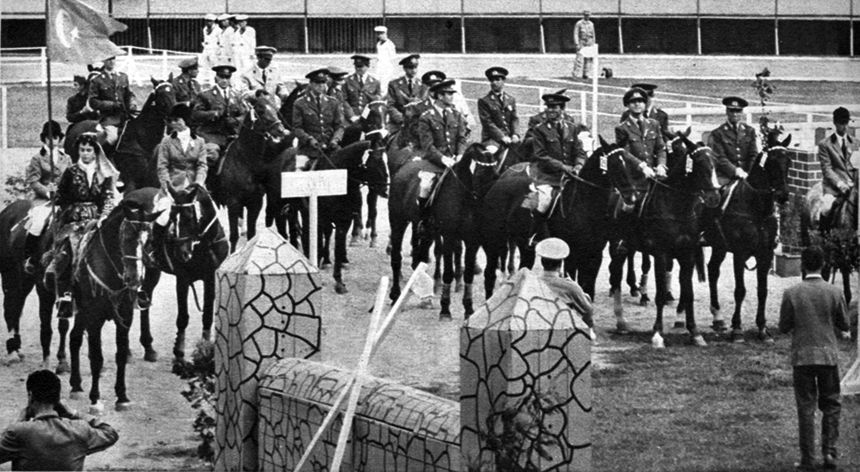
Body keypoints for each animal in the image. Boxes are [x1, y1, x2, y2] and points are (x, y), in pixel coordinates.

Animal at [0, 201, 57, 366]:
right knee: (10, 306)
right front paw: (46, 363)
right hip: (9, 275)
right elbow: (46, 326)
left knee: (17, 305)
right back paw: (12, 352)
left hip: (24, 280)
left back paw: (17, 348)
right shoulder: (44, 288)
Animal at [67, 190, 163, 412]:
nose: (134, 278)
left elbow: (120, 356)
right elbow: (96, 358)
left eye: (149, 240)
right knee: (75, 338)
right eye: (125, 236)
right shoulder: (94, 318)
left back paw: (76, 385)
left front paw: (122, 397)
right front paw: (95, 400)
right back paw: (76, 387)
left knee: (75, 337)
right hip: (81, 309)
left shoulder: (125, 317)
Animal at [137, 183, 227, 362]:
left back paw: (148, 347)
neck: (202, 244)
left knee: (145, 296)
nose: (181, 254)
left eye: (189, 217)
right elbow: (183, 317)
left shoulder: (210, 276)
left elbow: (207, 314)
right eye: (172, 218)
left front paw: (205, 349)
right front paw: (179, 352)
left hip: (153, 270)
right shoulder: (183, 279)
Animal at [207, 91, 288, 251]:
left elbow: (251, 234)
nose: (281, 130)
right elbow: (233, 236)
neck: (246, 161)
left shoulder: (255, 203)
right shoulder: (233, 203)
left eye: (276, 109)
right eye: (261, 110)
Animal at [608, 136, 724, 346]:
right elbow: (660, 294)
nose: (714, 196)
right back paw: (621, 320)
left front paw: (695, 332)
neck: (676, 206)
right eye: (699, 163)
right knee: (616, 276)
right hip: (616, 245)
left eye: (716, 163)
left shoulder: (687, 255)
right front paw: (657, 333)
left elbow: (688, 293)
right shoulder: (661, 255)